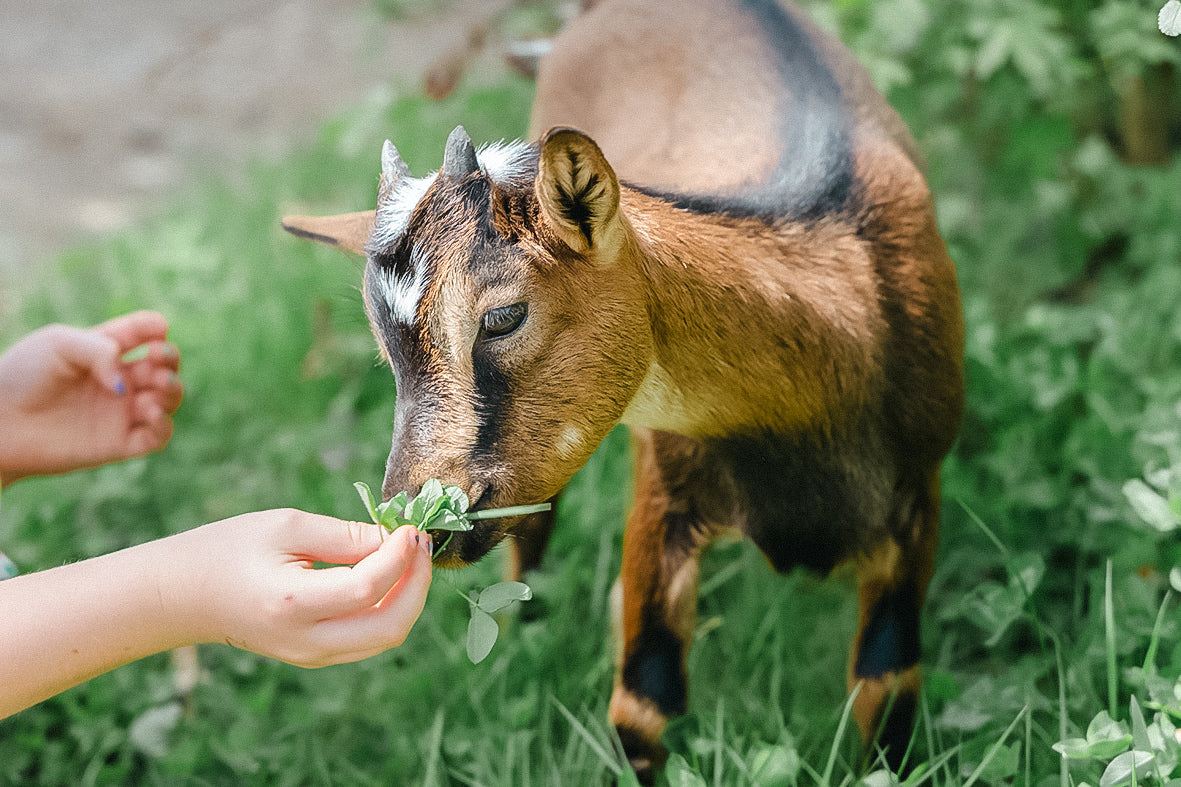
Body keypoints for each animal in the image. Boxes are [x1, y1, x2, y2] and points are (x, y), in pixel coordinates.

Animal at [281, 0, 963, 775]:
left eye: (503, 316)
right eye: (383, 346)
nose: (416, 517)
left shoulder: (917, 493)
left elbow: (887, 689)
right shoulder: (664, 490)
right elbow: (641, 705)